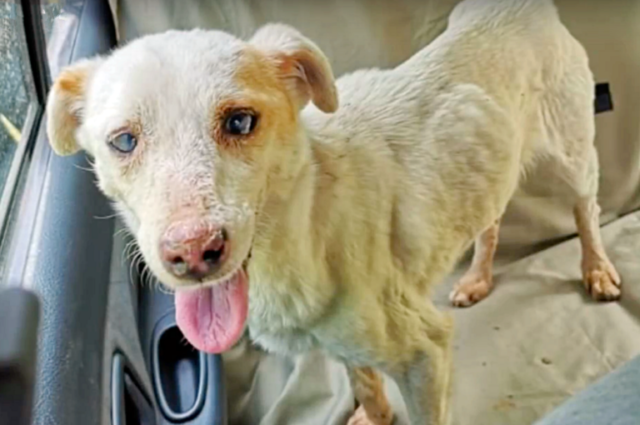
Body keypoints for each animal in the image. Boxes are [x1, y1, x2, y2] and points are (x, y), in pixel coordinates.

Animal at [46, 0, 620, 424]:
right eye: (123, 140)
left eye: (240, 122)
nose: (192, 252)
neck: (308, 223)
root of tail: (520, 8)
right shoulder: (339, 340)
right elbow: (361, 381)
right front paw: (374, 413)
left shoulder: (426, 351)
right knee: (492, 219)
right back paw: (477, 278)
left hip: (574, 151)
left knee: (585, 209)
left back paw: (597, 271)